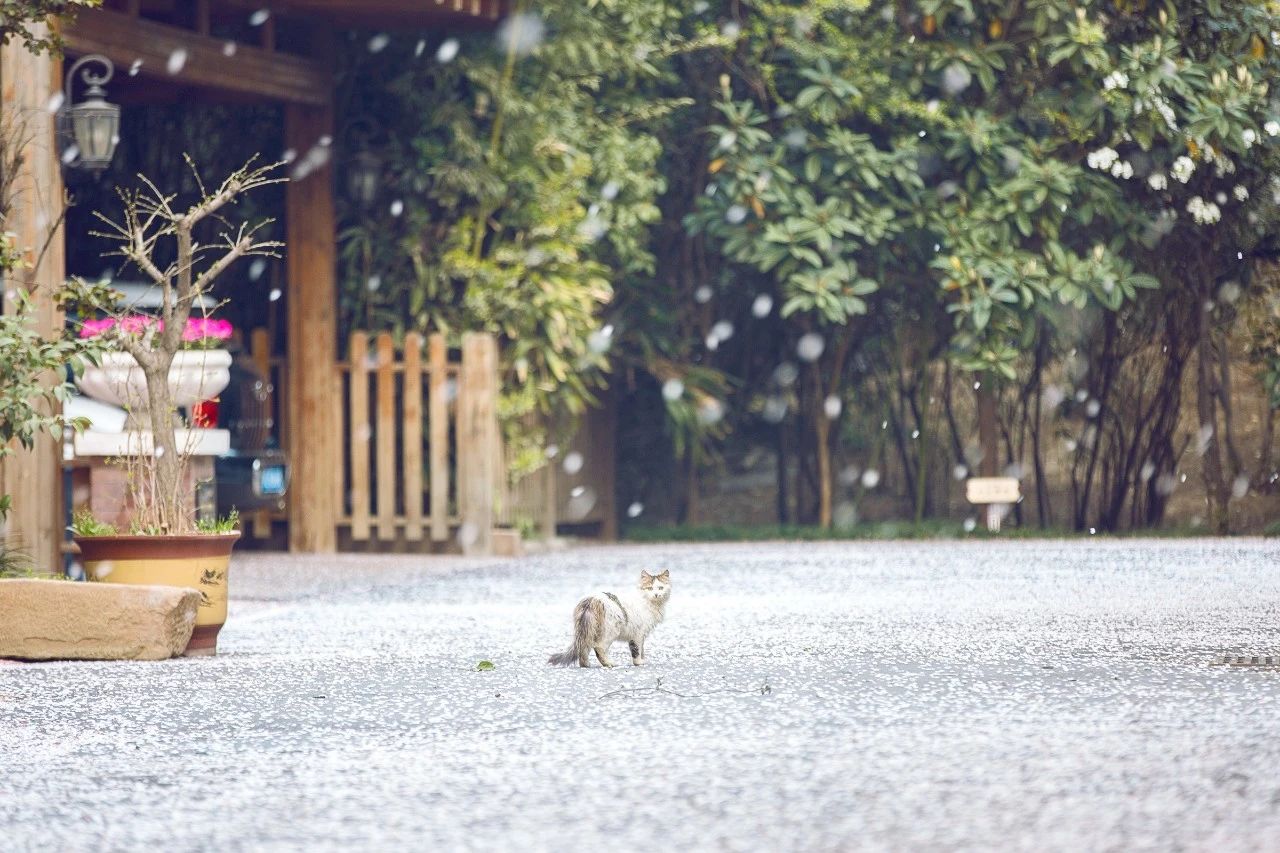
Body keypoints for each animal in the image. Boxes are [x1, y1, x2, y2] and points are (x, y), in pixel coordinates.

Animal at [547, 568, 675, 666]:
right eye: (650, 588)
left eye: (660, 588)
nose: (656, 594)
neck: (651, 603)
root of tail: (592, 600)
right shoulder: (638, 634)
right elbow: (637, 650)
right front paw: (639, 662)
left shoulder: (641, 635)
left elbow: (642, 650)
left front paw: (642, 660)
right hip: (611, 631)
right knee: (598, 648)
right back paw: (609, 663)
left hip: (588, 632)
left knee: (583, 649)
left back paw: (586, 665)